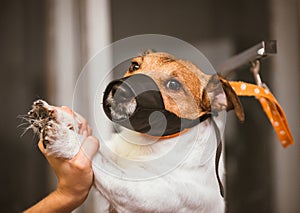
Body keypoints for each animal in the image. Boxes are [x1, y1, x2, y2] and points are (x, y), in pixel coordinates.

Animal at [27, 50, 244, 212]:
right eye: (135, 66)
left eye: (174, 84)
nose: (120, 90)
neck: (148, 141)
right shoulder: (116, 154)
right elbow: (96, 145)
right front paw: (55, 114)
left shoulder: (142, 194)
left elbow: (97, 160)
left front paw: (66, 140)